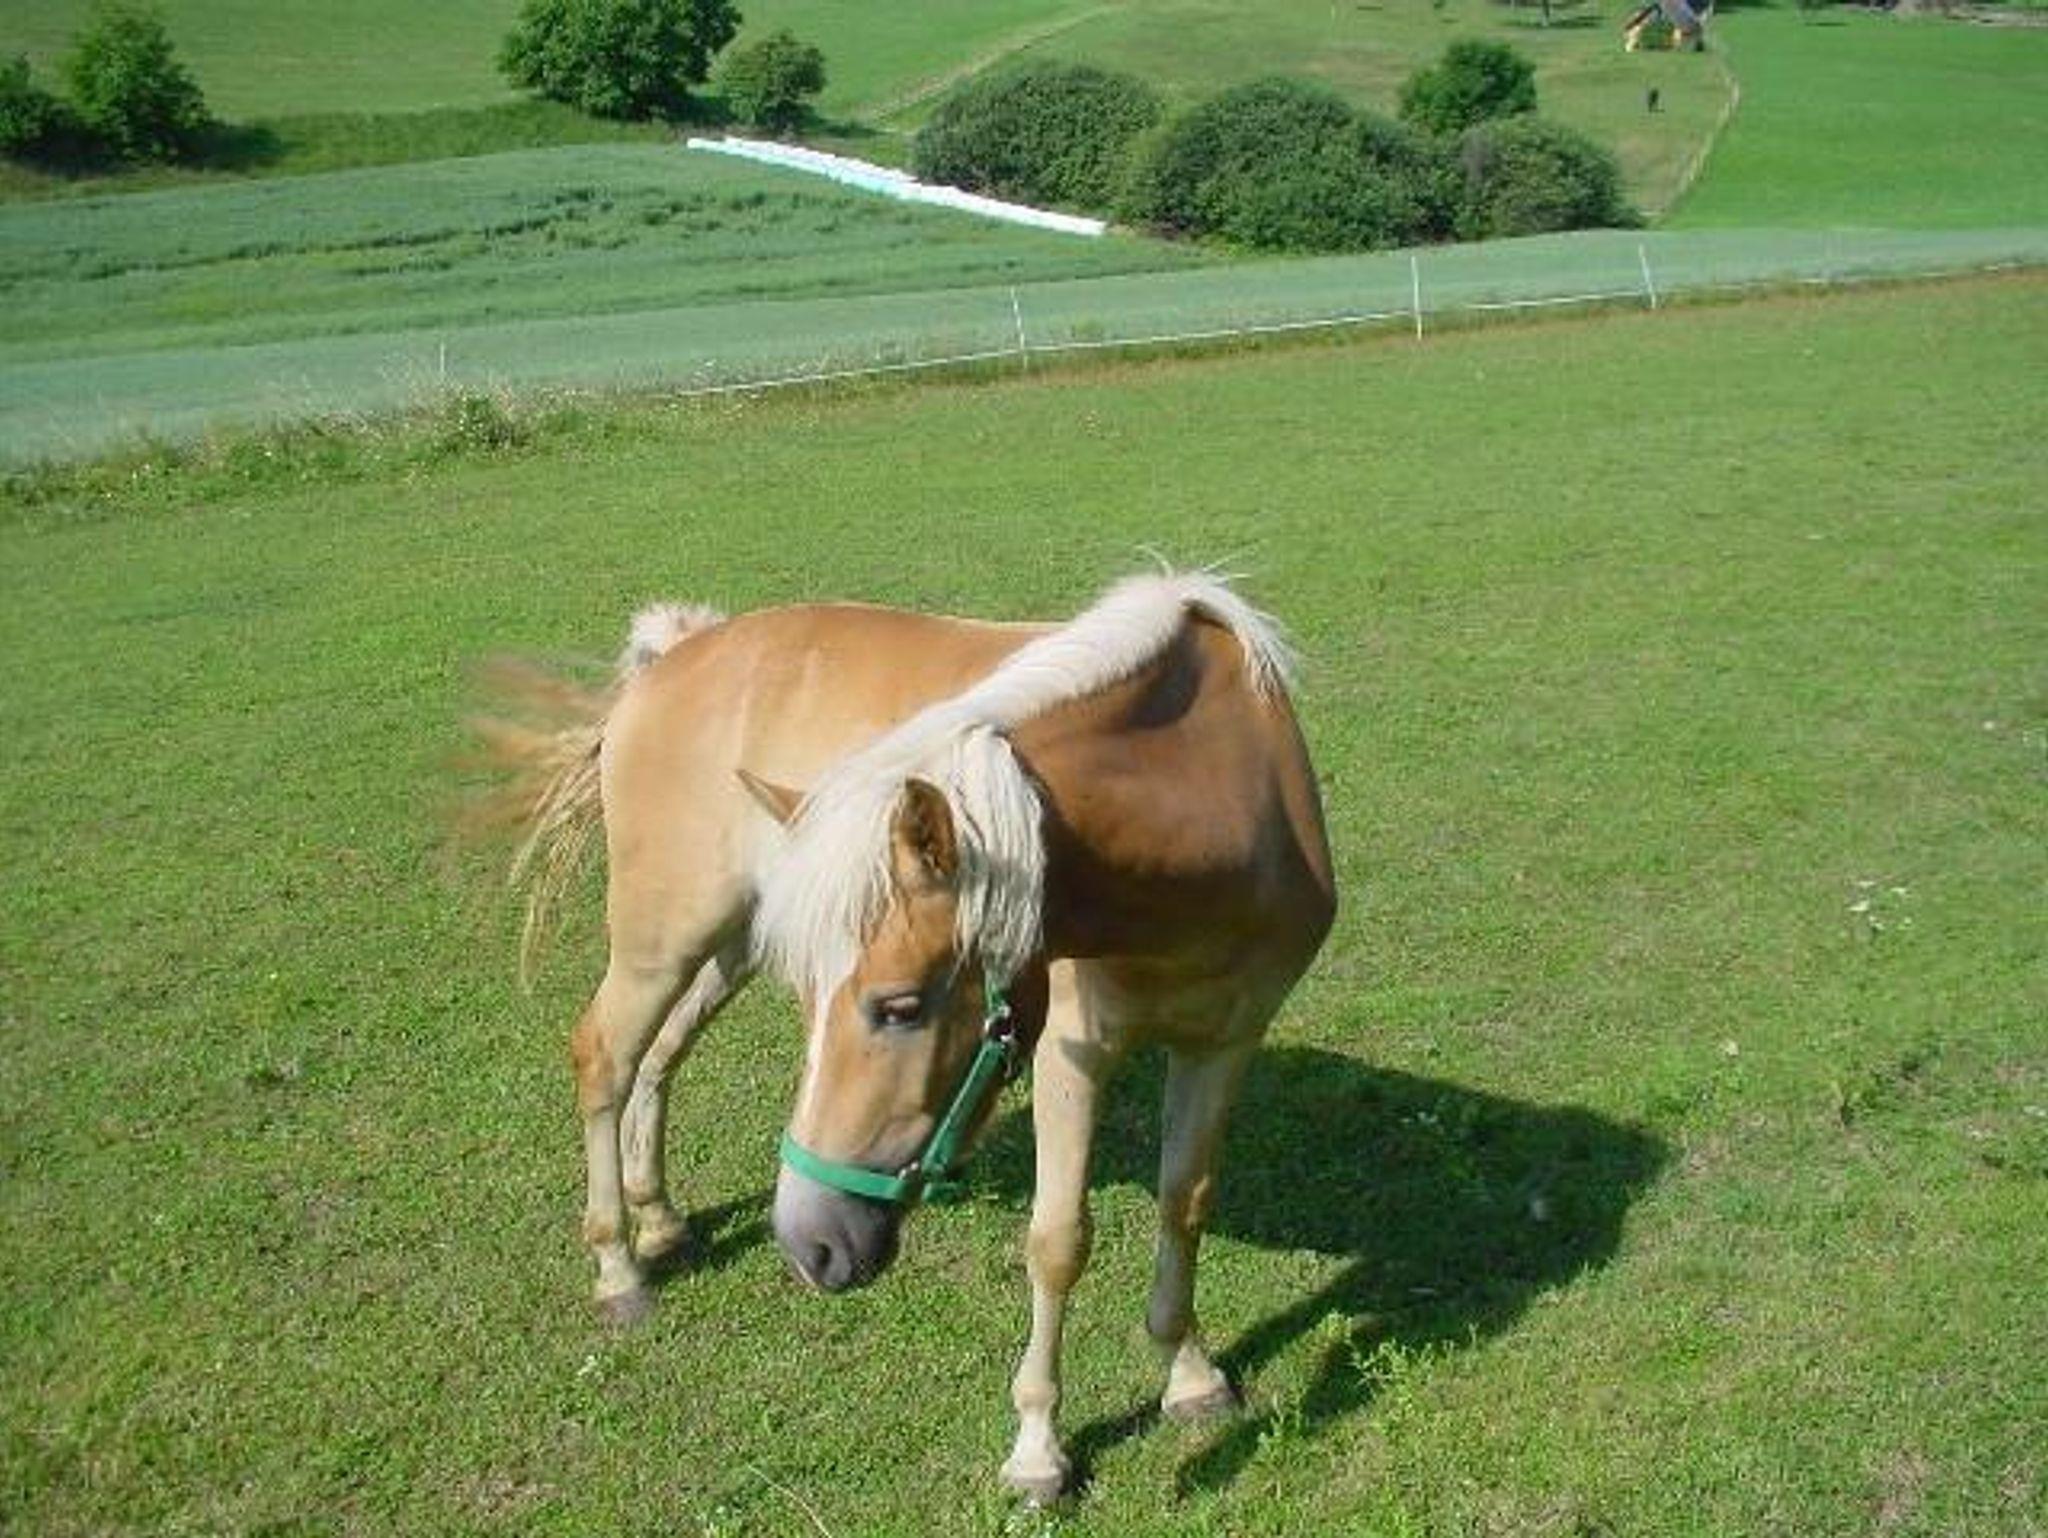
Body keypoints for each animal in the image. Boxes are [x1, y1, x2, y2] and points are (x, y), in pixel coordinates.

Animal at [490, 571, 1335, 1499]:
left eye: (899, 1007)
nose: (808, 1244)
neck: (1220, 788)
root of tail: (676, 654)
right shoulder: (1072, 1055)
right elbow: (1058, 1243)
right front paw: (1038, 1449)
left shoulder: (1224, 1041)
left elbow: (1185, 1204)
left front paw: (1188, 1375)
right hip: (664, 936)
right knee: (607, 1057)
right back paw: (618, 1270)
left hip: (736, 939)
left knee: (661, 1054)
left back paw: (660, 1219)